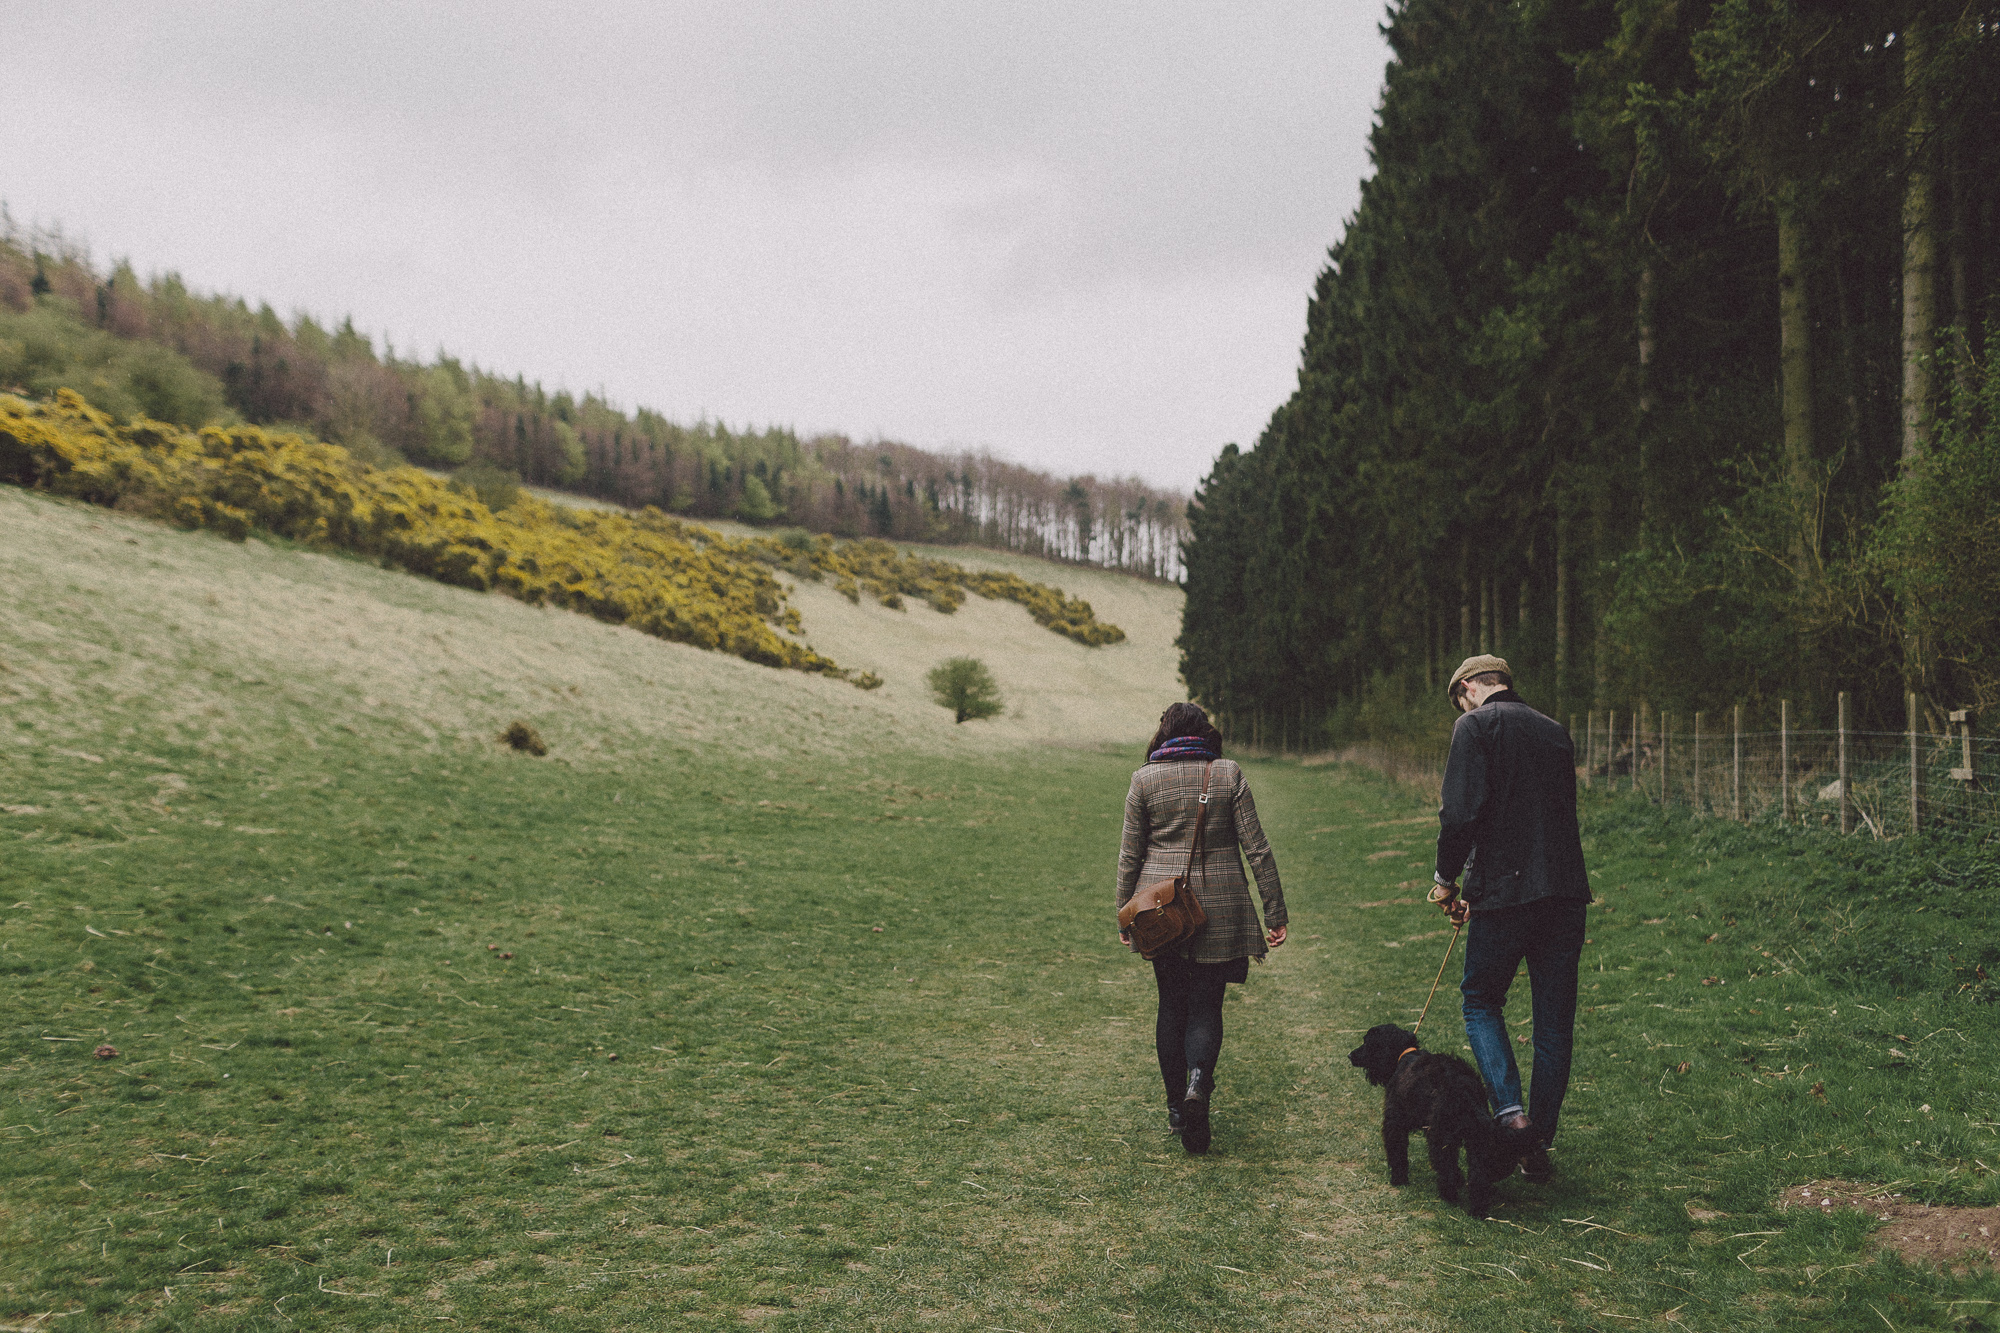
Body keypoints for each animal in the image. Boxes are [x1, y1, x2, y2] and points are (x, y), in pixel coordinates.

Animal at [1352, 1020, 1520, 1208]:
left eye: (1367, 1042)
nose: (1350, 1055)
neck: (1404, 1055)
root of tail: (1464, 1087)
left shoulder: (1394, 1122)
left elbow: (1397, 1152)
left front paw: (1398, 1179)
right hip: (1475, 1138)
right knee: (1478, 1175)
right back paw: (1477, 1209)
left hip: (1441, 1136)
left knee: (1447, 1167)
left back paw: (1449, 1196)